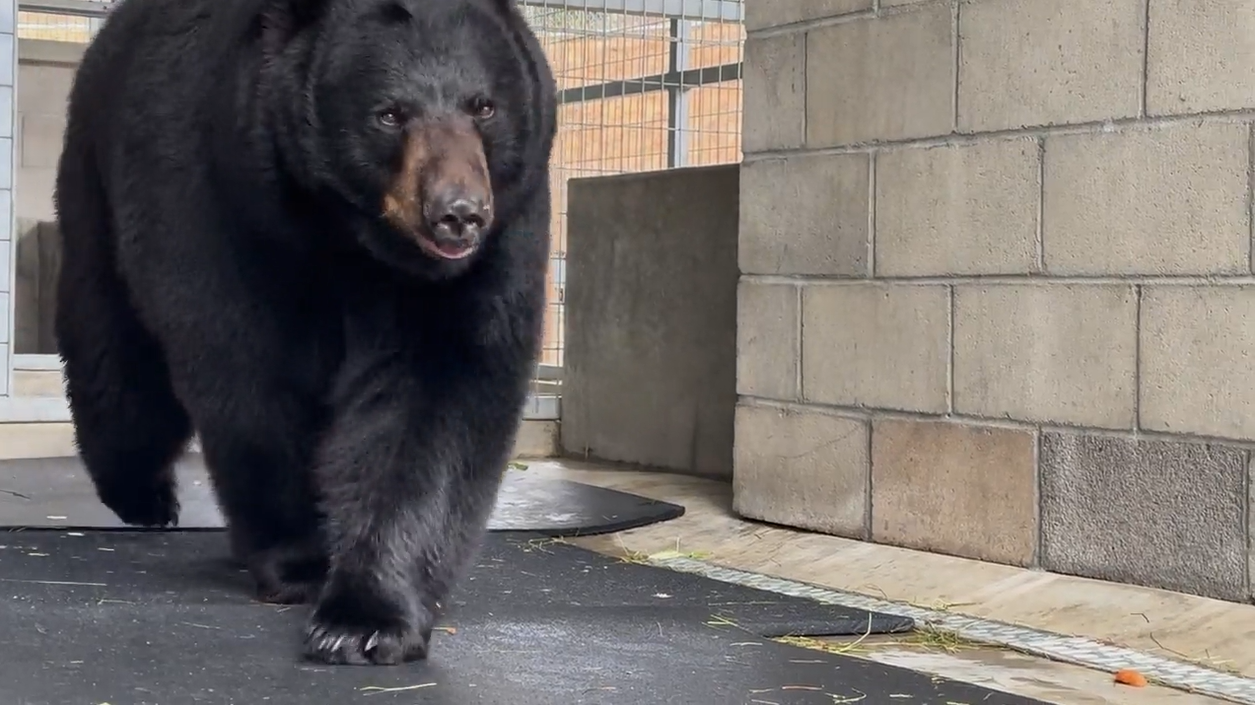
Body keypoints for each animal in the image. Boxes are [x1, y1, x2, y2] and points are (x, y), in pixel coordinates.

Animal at [52, 0, 557, 666]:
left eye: (484, 106)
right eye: (390, 114)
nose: (458, 213)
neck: (346, 237)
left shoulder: (490, 246)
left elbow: (440, 395)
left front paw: (368, 616)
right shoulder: (226, 201)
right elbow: (250, 376)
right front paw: (300, 563)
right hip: (96, 179)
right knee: (113, 345)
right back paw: (141, 494)